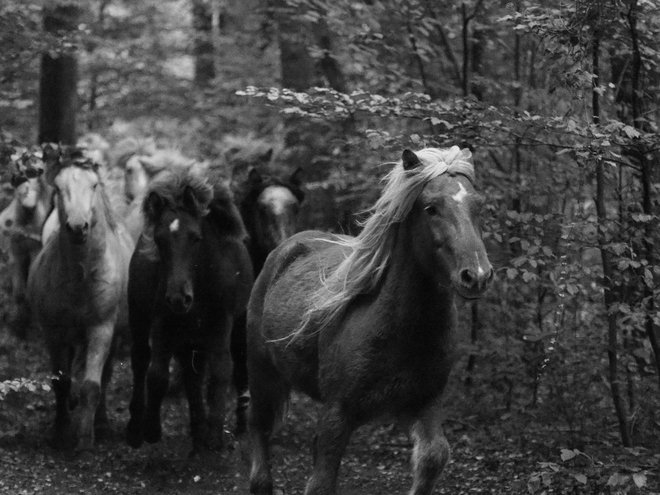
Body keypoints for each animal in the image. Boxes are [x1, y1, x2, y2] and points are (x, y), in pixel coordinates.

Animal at [27, 148, 135, 454]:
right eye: (58, 188)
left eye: (94, 185)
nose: (77, 227)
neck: (81, 277)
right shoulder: (54, 332)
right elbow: (61, 382)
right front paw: (61, 431)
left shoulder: (101, 329)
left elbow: (92, 385)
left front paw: (85, 437)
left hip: (114, 336)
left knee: (105, 377)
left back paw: (102, 423)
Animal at [125, 169, 254, 456]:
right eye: (159, 240)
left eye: (196, 238)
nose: (178, 298)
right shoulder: (163, 323)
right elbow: (157, 374)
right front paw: (151, 430)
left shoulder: (221, 324)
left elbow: (221, 372)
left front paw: (215, 436)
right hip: (140, 319)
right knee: (141, 362)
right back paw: (138, 429)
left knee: (213, 372)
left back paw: (213, 432)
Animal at [245, 145, 492, 494]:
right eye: (431, 208)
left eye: (478, 205)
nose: (478, 276)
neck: (400, 330)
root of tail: (284, 248)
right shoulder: (337, 414)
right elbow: (321, 482)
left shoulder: (421, 404)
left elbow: (433, 456)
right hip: (262, 373)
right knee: (258, 430)